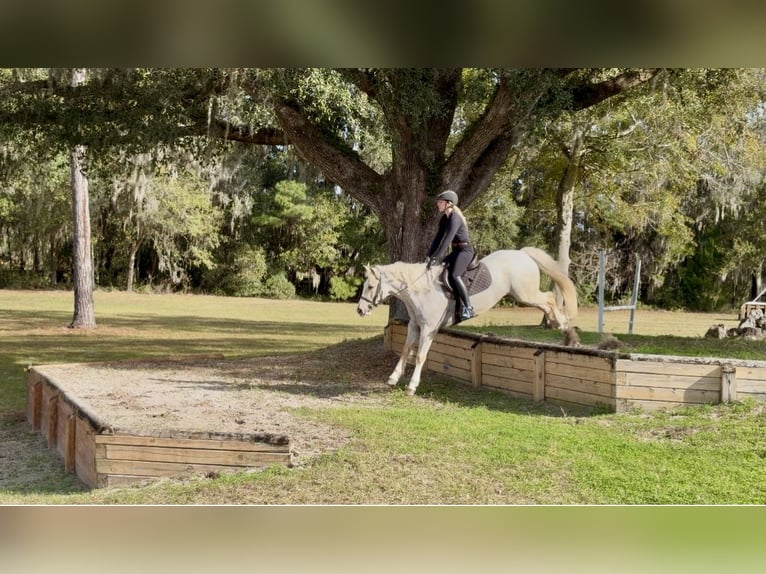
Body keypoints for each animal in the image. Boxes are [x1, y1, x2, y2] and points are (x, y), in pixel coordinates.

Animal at [356, 247, 578, 396]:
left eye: (370, 286)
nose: (360, 310)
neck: (420, 289)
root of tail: (522, 253)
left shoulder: (428, 329)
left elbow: (419, 356)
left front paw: (411, 386)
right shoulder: (414, 326)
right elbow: (404, 351)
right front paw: (393, 378)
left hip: (525, 294)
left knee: (549, 298)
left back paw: (565, 327)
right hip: (523, 294)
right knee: (548, 303)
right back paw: (565, 330)